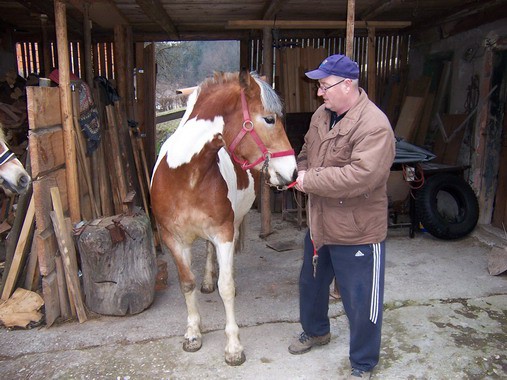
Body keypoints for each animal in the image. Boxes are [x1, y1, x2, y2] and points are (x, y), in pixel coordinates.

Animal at [149, 70, 298, 366]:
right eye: (269, 119)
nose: (294, 172)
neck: (186, 175)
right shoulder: (173, 239)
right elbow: (187, 283)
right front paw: (192, 334)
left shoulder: (224, 233)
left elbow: (226, 287)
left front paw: (233, 347)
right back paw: (207, 281)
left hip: (232, 224)